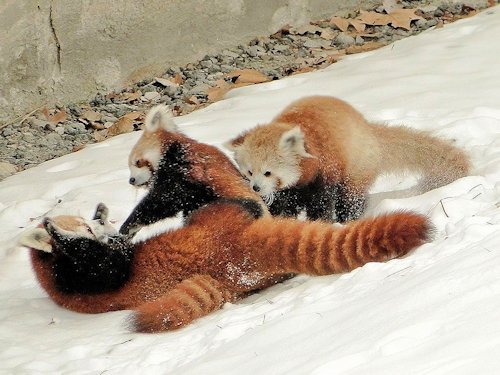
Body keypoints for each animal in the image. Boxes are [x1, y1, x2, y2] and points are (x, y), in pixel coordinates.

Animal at [20, 201, 434, 334]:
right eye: (83, 229)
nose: (96, 221)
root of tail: (235, 253)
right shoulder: (90, 275)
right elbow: (114, 264)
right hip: (216, 220)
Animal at [225, 95, 470, 223]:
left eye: (268, 172)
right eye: (249, 172)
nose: (256, 188)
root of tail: (370, 130)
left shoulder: (325, 171)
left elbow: (321, 203)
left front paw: (321, 222)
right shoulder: (288, 192)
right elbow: (282, 206)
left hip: (358, 166)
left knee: (351, 198)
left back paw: (348, 218)